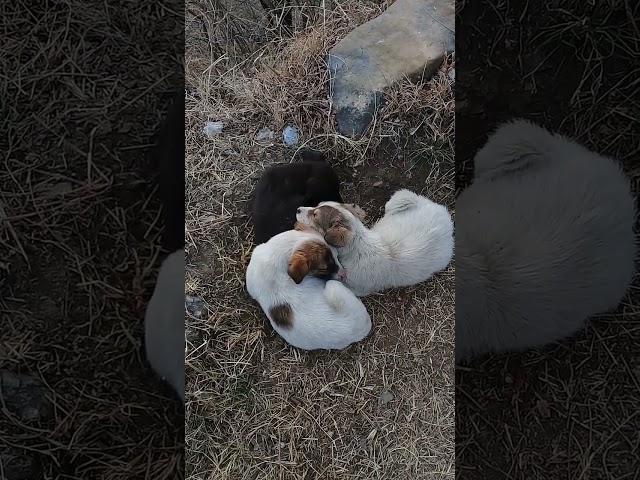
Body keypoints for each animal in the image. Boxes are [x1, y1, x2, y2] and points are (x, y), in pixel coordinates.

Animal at [246, 229, 376, 348]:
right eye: (324, 269)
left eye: (337, 256)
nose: (344, 275)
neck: (273, 258)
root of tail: (358, 331)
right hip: (333, 286)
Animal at [298, 188, 456, 294]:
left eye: (315, 215)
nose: (298, 209)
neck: (357, 247)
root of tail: (444, 214)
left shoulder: (357, 289)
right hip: (401, 198)